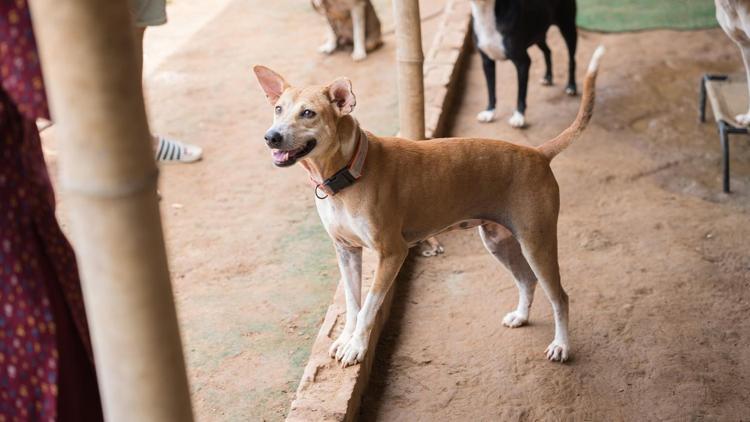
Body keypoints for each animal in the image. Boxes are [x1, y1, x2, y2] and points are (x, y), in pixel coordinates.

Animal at [256, 44, 608, 364]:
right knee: (527, 280)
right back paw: (521, 316)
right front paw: (346, 339)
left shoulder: (392, 253)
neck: (349, 173)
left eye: (308, 113)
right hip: (498, 240)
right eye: (279, 109)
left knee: (560, 296)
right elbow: (353, 303)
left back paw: (561, 346)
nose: (271, 137)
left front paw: (356, 347)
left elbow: (368, 305)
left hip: (537, 242)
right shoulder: (346, 251)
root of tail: (538, 153)